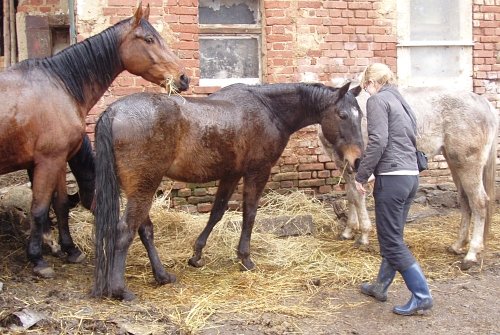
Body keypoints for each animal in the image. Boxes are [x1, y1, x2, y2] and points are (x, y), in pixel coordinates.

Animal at [0, 2, 190, 278]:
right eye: (149, 39)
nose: (183, 78)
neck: (60, 85)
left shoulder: (59, 160)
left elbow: (60, 204)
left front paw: (70, 250)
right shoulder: (48, 160)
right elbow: (39, 208)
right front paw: (38, 259)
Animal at [92, 82, 364, 302]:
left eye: (359, 115)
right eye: (342, 115)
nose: (357, 160)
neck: (269, 109)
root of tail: (113, 111)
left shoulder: (231, 174)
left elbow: (217, 212)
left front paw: (197, 254)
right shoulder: (257, 171)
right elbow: (249, 213)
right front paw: (245, 258)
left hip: (140, 188)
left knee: (144, 229)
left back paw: (162, 276)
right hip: (144, 187)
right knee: (125, 230)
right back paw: (120, 290)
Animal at [318, 86, 498, 270]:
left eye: (357, 115)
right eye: (343, 115)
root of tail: (485, 105)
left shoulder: (357, 166)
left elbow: (358, 197)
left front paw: (363, 237)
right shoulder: (345, 165)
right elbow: (351, 196)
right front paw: (348, 231)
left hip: (469, 165)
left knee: (479, 202)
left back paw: (471, 254)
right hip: (455, 164)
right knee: (465, 201)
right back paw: (457, 245)